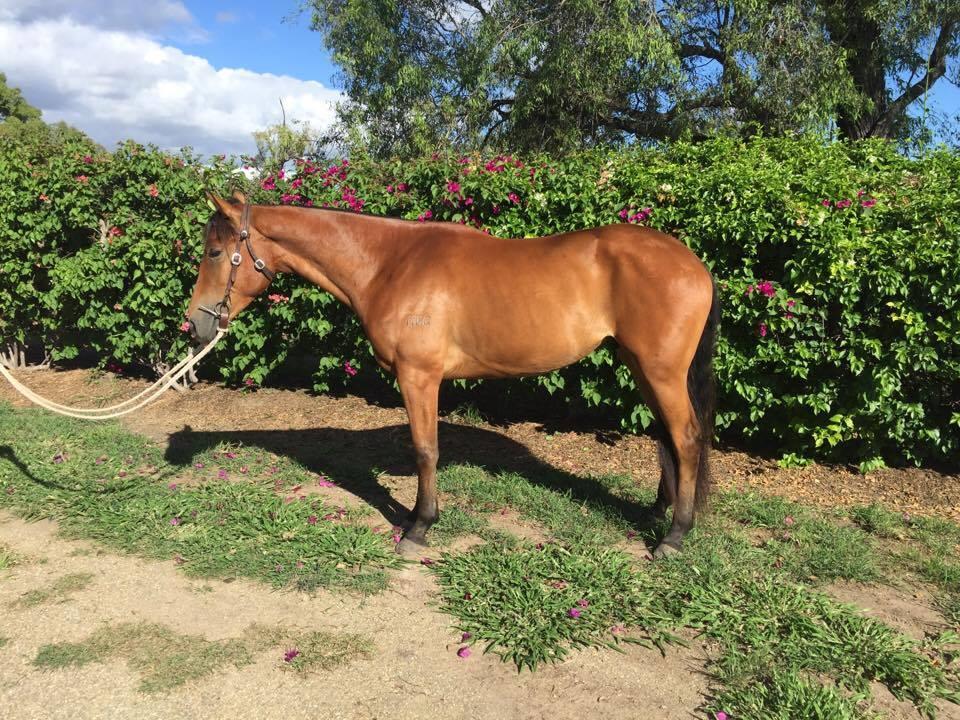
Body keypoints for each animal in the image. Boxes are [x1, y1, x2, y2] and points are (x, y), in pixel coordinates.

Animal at [186, 192, 719, 558]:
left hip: (661, 371)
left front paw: (419, 527)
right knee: (667, 438)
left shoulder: (419, 377)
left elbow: (426, 450)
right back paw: (655, 513)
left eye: (213, 252)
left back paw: (674, 536)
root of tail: (694, 264)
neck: (389, 264)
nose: (194, 324)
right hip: (641, 366)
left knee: (687, 438)